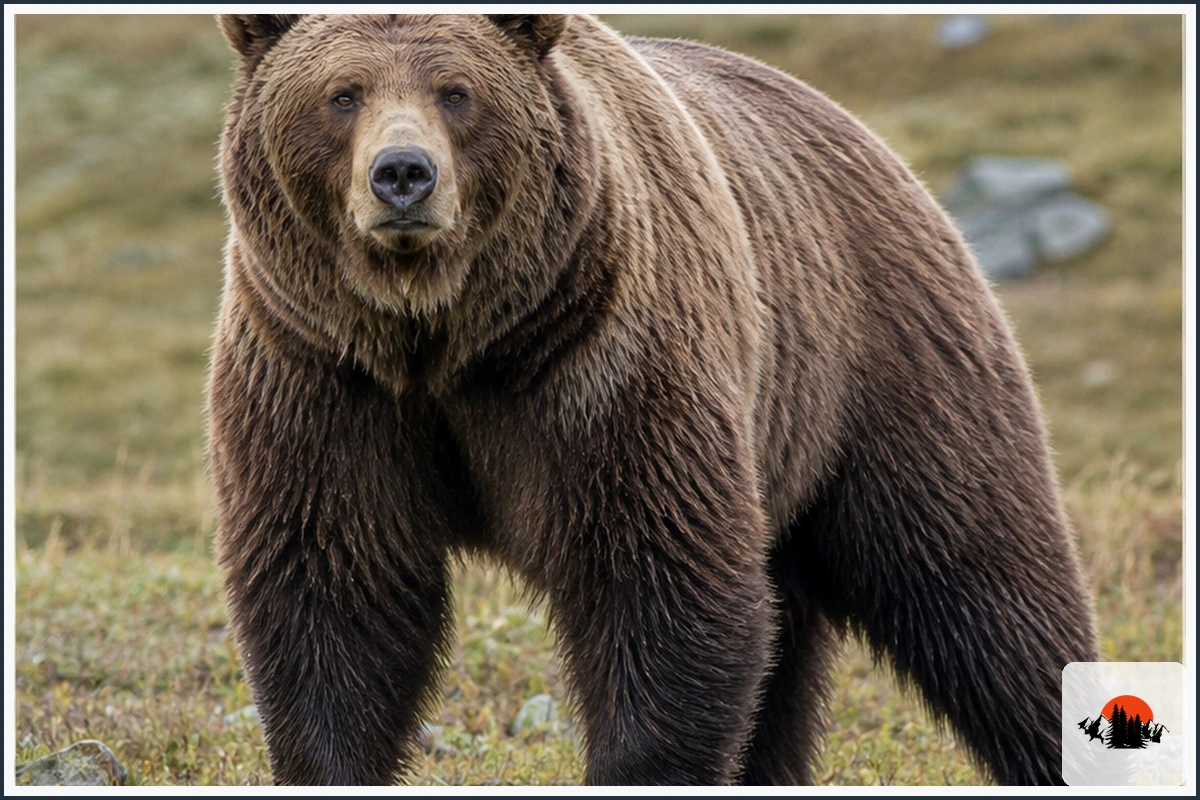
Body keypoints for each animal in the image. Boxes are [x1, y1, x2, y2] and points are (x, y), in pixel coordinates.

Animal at [207, 14, 1098, 786]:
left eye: (457, 91)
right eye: (343, 93)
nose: (402, 174)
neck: (444, 339)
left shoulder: (603, 365)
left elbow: (658, 583)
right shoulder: (321, 379)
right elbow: (334, 592)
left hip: (883, 367)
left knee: (983, 588)